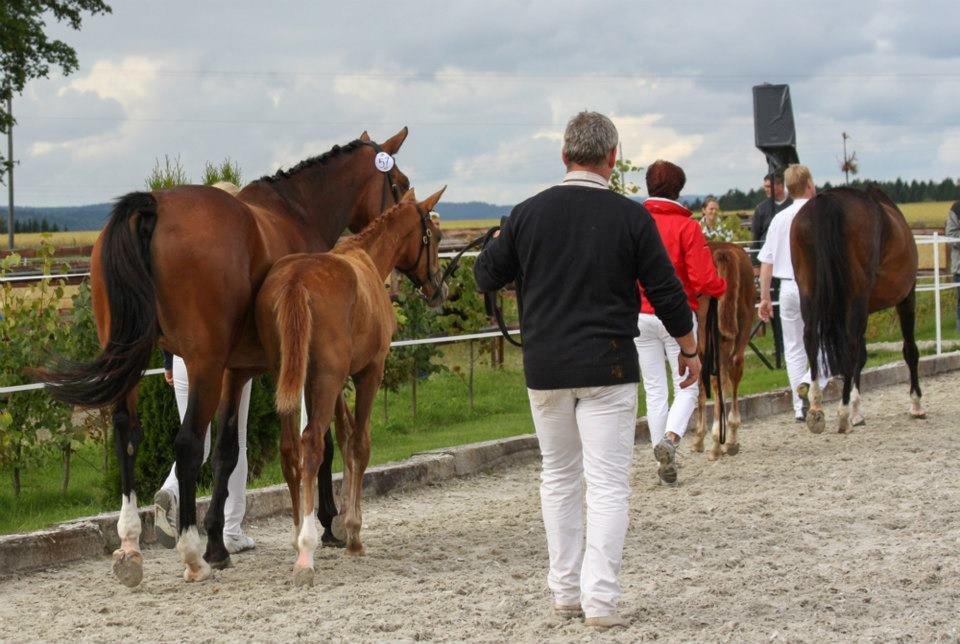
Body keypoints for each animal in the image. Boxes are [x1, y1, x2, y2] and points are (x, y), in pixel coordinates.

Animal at [37, 128, 410, 588]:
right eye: (400, 184)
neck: (296, 212)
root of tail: (153, 206)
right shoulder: (296, 367)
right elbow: (315, 442)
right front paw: (327, 523)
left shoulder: (240, 369)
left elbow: (228, 450)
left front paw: (220, 542)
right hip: (203, 364)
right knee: (187, 444)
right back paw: (190, 553)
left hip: (133, 358)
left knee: (128, 432)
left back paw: (130, 546)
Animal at [256, 185, 448, 584]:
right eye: (435, 236)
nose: (440, 289)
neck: (366, 259)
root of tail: (296, 280)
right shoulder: (368, 372)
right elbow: (360, 442)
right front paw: (354, 533)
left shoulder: (332, 382)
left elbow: (343, 437)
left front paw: (342, 522)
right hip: (326, 378)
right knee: (311, 443)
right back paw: (306, 551)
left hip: (290, 379)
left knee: (290, 449)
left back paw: (297, 535)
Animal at [692, 242, 752, 458]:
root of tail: (724, 251)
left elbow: (700, 388)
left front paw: (700, 438)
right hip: (741, 330)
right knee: (734, 369)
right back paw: (730, 438)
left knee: (718, 379)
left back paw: (718, 442)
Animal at [788, 189, 924, 436]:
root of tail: (829, 201)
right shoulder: (907, 297)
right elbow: (909, 350)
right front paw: (916, 404)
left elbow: (861, 356)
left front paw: (857, 413)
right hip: (858, 296)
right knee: (850, 347)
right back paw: (841, 413)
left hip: (808, 291)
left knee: (811, 338)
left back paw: (816, 408)